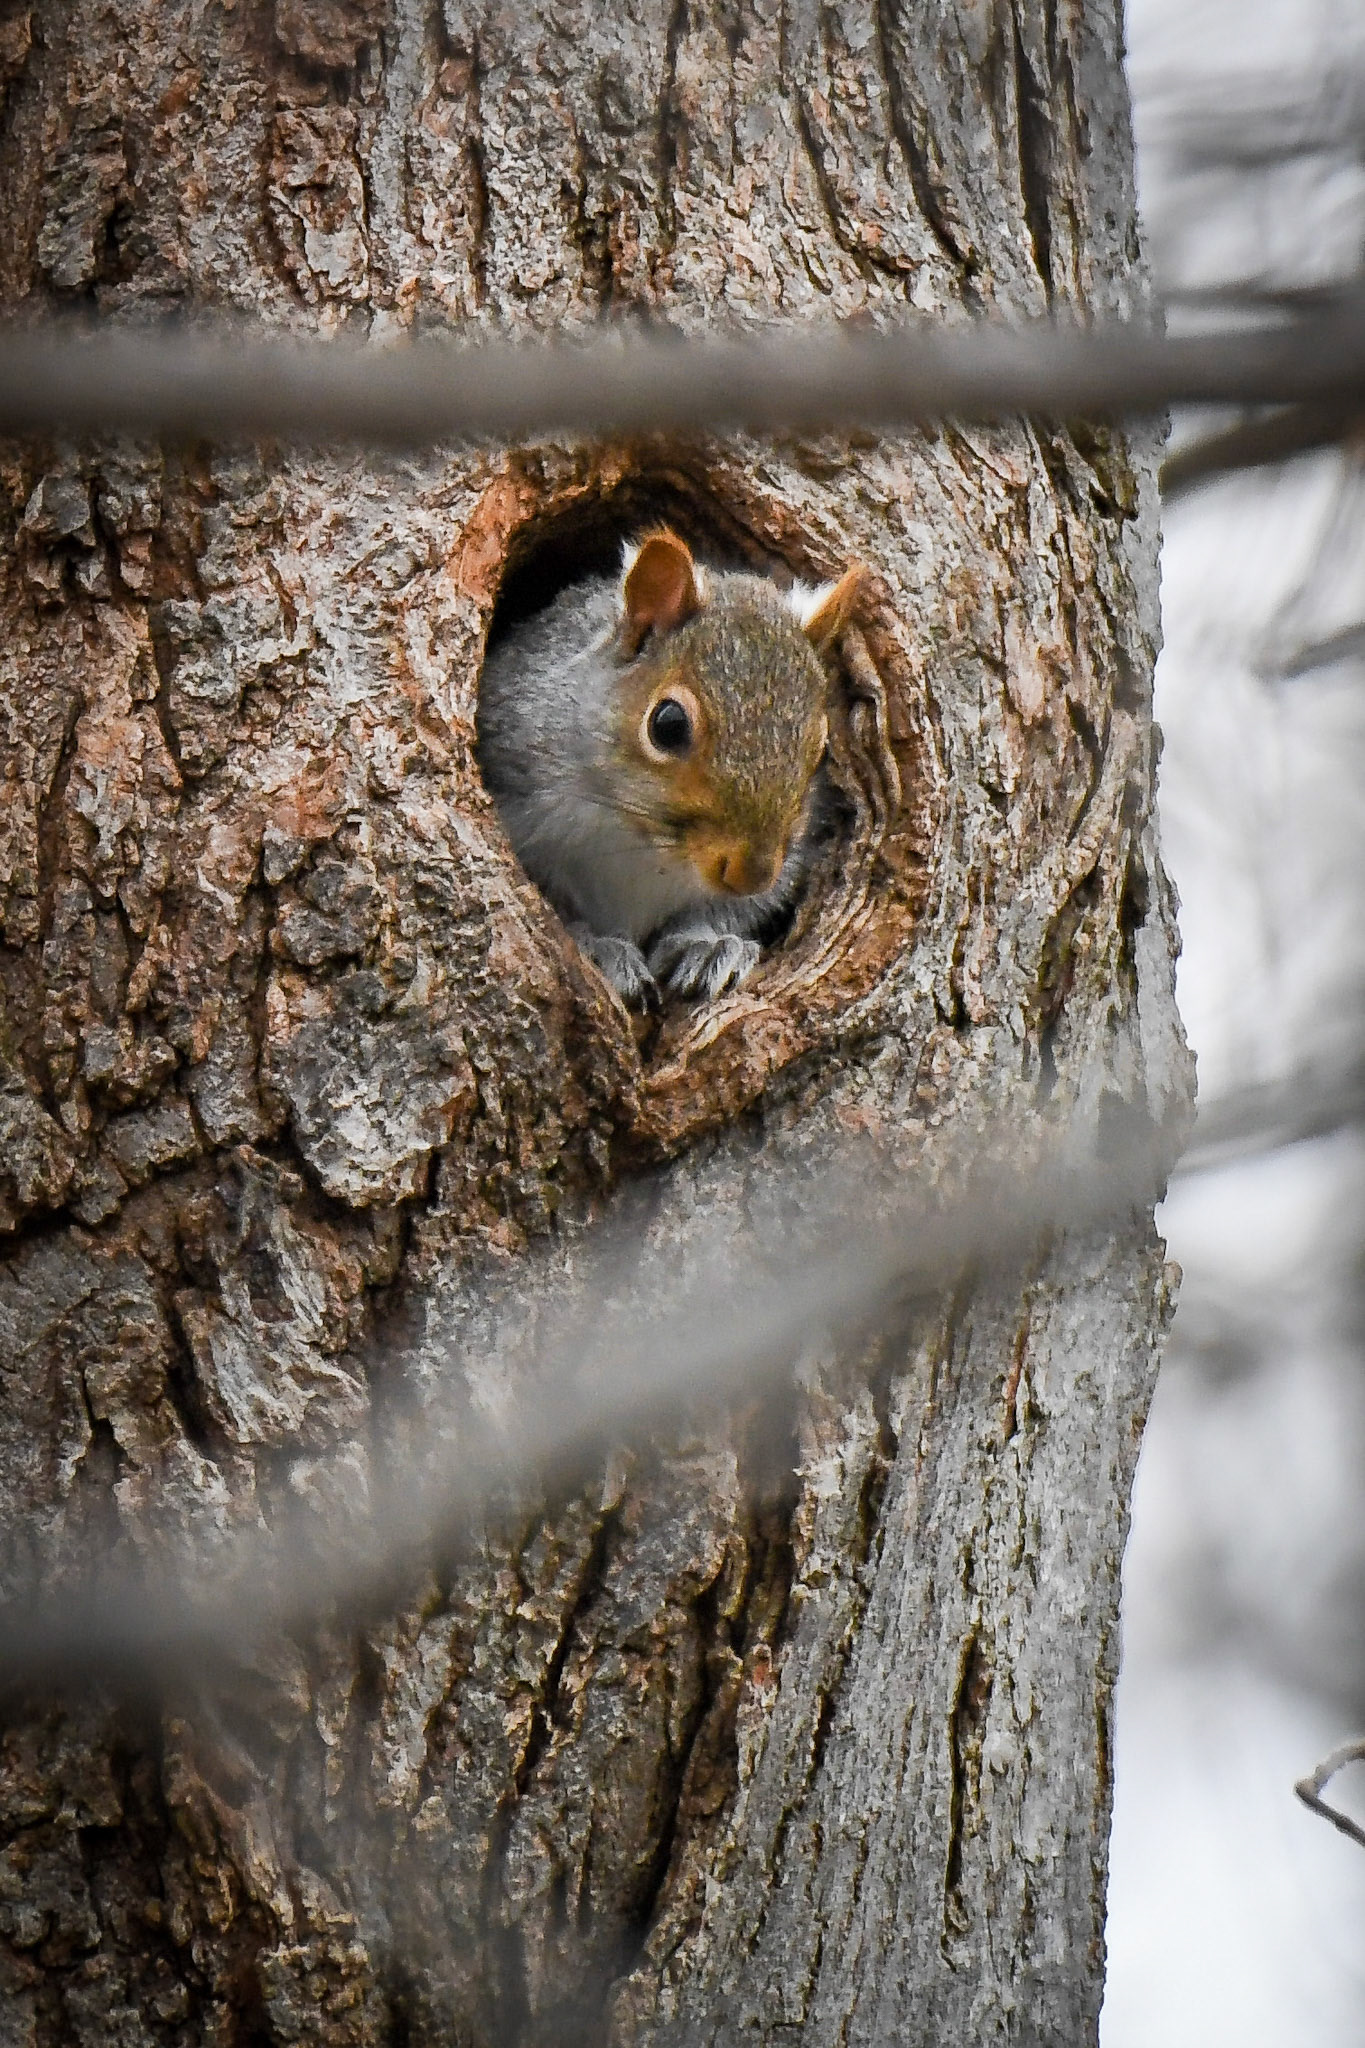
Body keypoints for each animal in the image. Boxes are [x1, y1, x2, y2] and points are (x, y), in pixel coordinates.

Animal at [476, 528, 864, 1004]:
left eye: (821, 746)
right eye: (668, 725)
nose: (751, 874)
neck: (639, 840)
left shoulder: (788, 861)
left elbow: (732, 908)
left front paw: (708, 946)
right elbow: (554, 903)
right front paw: (601, 948)